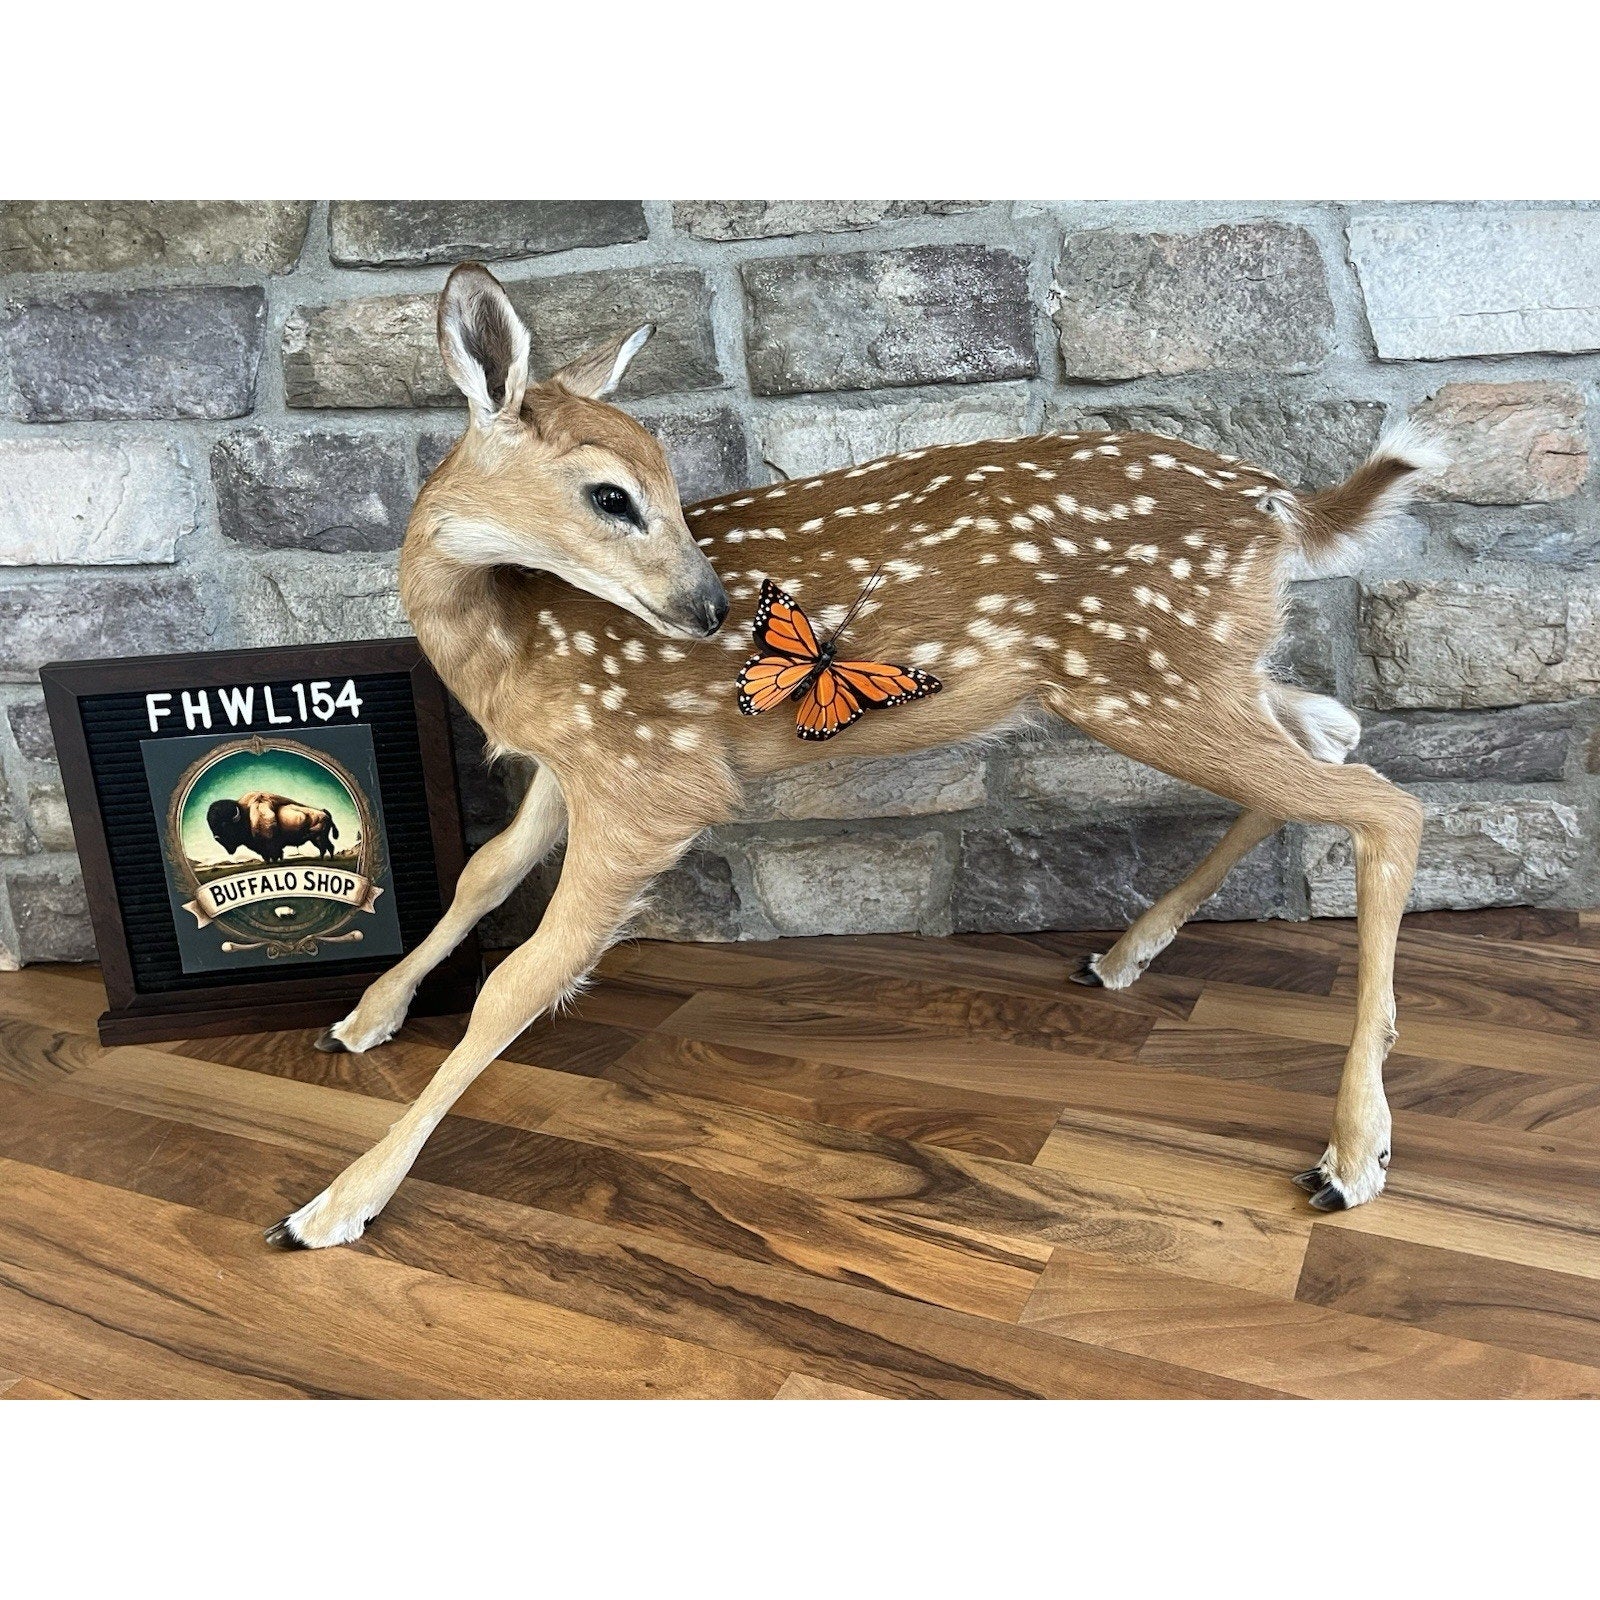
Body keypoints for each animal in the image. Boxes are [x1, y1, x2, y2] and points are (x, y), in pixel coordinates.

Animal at [265, 261, 1442, 1250]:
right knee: (1333, 734)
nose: (710, 610)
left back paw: (1350, 1154)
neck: (507, 647)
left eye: (668, 482)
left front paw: (332, 1205)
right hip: (1198, 668)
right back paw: (1124, 953)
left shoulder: (652, 773)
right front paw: (361, 1018)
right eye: (611, 492)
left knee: (1385, 802)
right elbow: (480, 874)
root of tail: (1283, 507)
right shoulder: (575, 764)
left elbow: (520, 981)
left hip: (1143, 678)